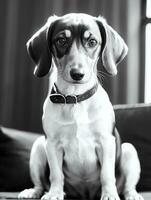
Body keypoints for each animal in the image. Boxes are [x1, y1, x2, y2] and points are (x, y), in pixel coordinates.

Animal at [18, 13, 143, 199]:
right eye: (61, 40)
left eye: (92, 42)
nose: (77, 74)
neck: (75, 98)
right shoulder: (52, 143)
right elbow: (56, 174)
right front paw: (54, 193)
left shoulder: (106, 142)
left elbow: (107, 174)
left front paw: (109, 194)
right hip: (39, 146)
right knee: (41, 184)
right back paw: (34, 192)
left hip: (129, 151)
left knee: (127, 186)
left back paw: (131, 194)